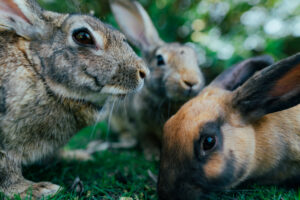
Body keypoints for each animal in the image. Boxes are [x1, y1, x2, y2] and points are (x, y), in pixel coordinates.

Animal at [101, 0, 206, 156]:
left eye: (196, 60)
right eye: (160, 60)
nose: (191, 82)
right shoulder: (140, 125)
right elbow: (146, 137)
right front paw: (152, 154)